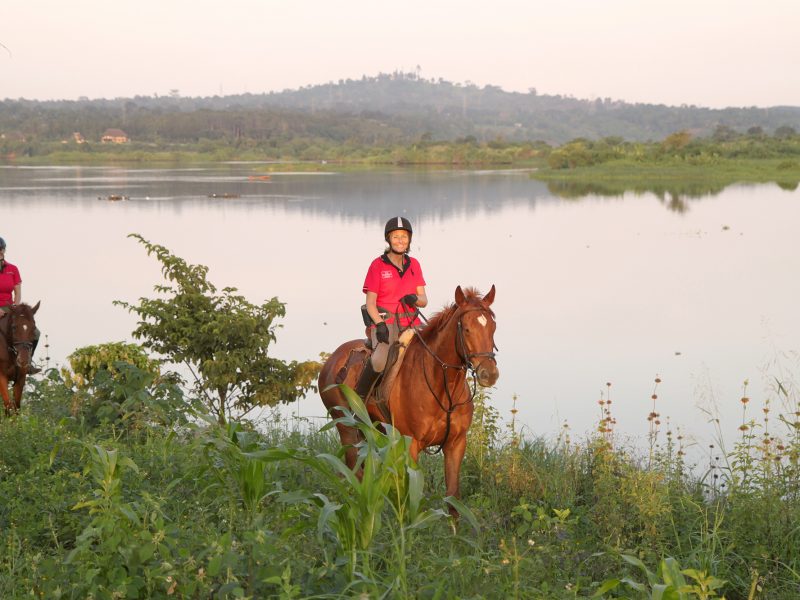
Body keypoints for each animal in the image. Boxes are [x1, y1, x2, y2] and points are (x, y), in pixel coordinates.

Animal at [320, 286, 500, 510]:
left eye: (493, 327)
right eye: (466, 329)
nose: (489, 374)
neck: (444, 388)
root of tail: (332, 360)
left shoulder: (456, 444)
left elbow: (453, 499)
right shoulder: (411, 444)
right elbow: (412, 499)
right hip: (346, 428)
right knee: (352, 473)